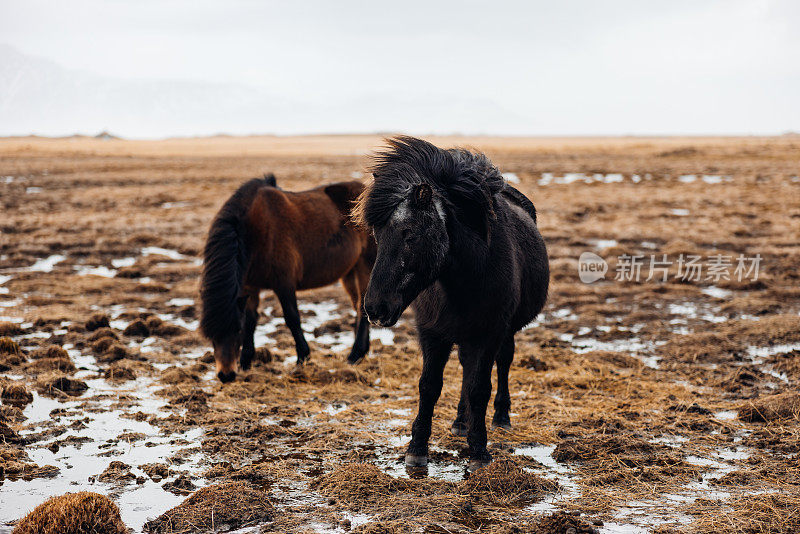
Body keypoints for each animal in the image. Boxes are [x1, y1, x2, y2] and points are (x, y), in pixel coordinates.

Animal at [200, 174, 376, 384]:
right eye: (210, 335)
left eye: (237, 330)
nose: (226, 375)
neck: (255, 232)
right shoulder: (250, 287)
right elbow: (251, 319)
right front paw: (245, 362)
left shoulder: (284, 283)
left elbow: (292, 318)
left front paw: (302, 358)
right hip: (349, 272)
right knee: (358, 305)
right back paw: (362, 353)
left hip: (365, 265)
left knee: (362, 306)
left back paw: (354, 354)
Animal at [356, 136, 552, 472]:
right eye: (377, 235)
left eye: (410, 235)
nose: (375, 309)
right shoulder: (432, 333)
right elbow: (429, 385)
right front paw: (417, 449)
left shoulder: (489, 334)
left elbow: (479, 388)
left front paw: (479, 451)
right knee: (465, 369)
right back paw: (461, 422)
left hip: (504, 333)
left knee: (502, 364)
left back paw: (501, 417)